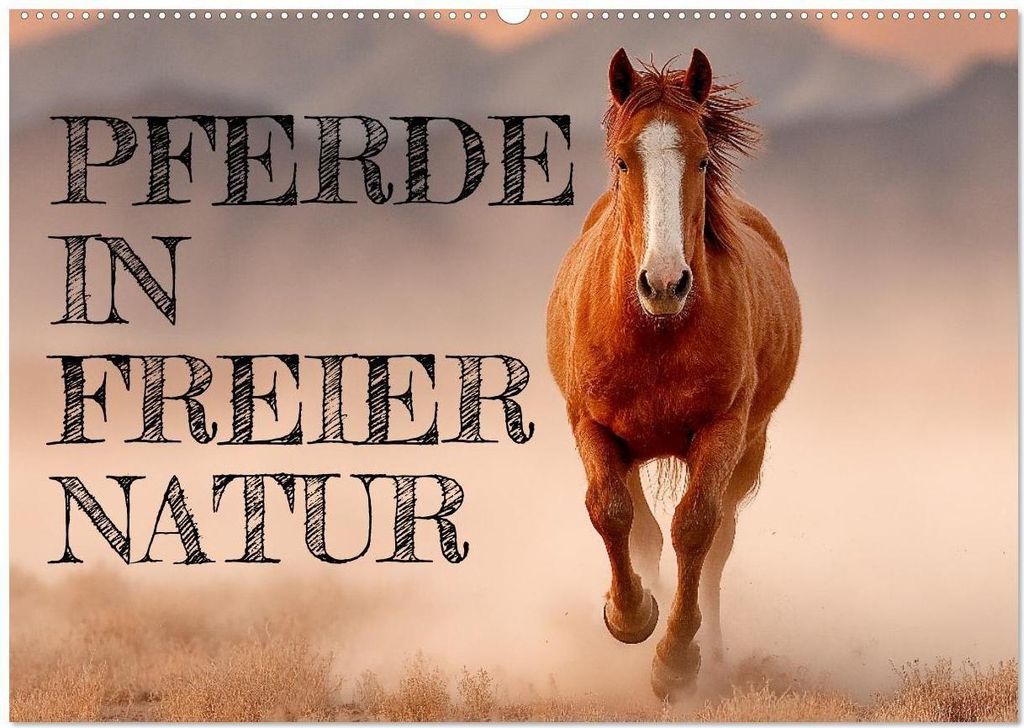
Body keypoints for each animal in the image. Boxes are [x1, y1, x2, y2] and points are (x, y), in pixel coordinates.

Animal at [546, 48, 801, 699]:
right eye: (622, 160)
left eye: (703, 157)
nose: (664, 283)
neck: (656, 332)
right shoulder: (592, 425)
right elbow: (613, 514)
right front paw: (630, 615)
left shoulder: (723, 430)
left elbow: (695, 529)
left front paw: (676, 660)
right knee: (642, 531)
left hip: (750, 447)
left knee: (717, 544)